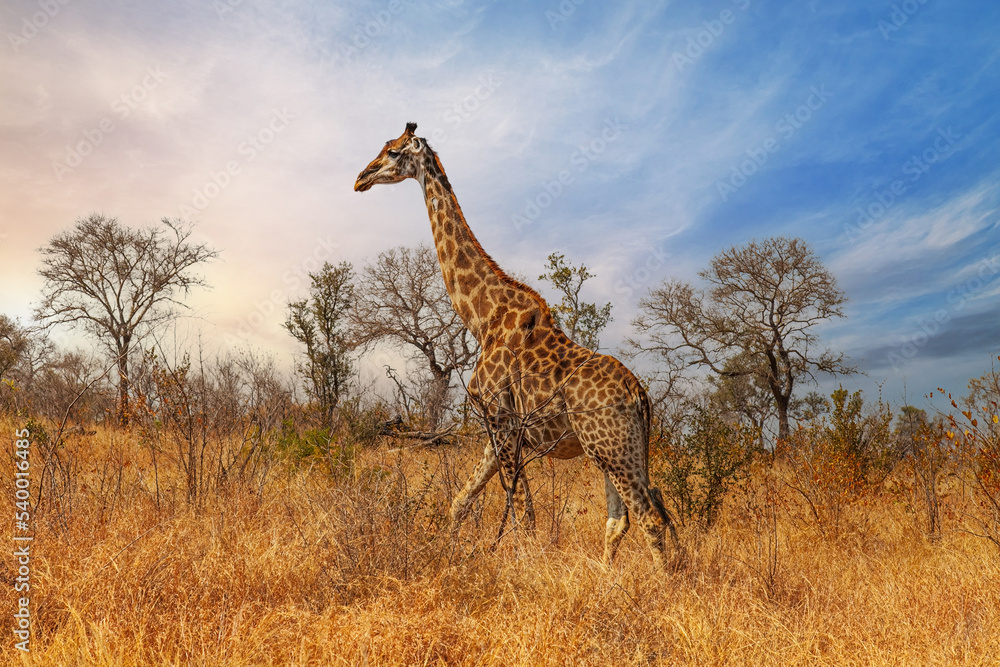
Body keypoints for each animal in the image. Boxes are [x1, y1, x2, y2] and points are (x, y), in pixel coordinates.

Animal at [354, 122, 680, 568]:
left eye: (392, 151)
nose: (361, 178)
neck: (482, 317)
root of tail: (640, 395)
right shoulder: (499, 430)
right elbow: (460, 502)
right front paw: (448, 551)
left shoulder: (502, 420)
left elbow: (523, 514)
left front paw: (525, 568)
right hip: (615, 449)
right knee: (623, 517)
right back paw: (609, 577)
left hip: (610, 446)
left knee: (649, 516)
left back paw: (662, 582)